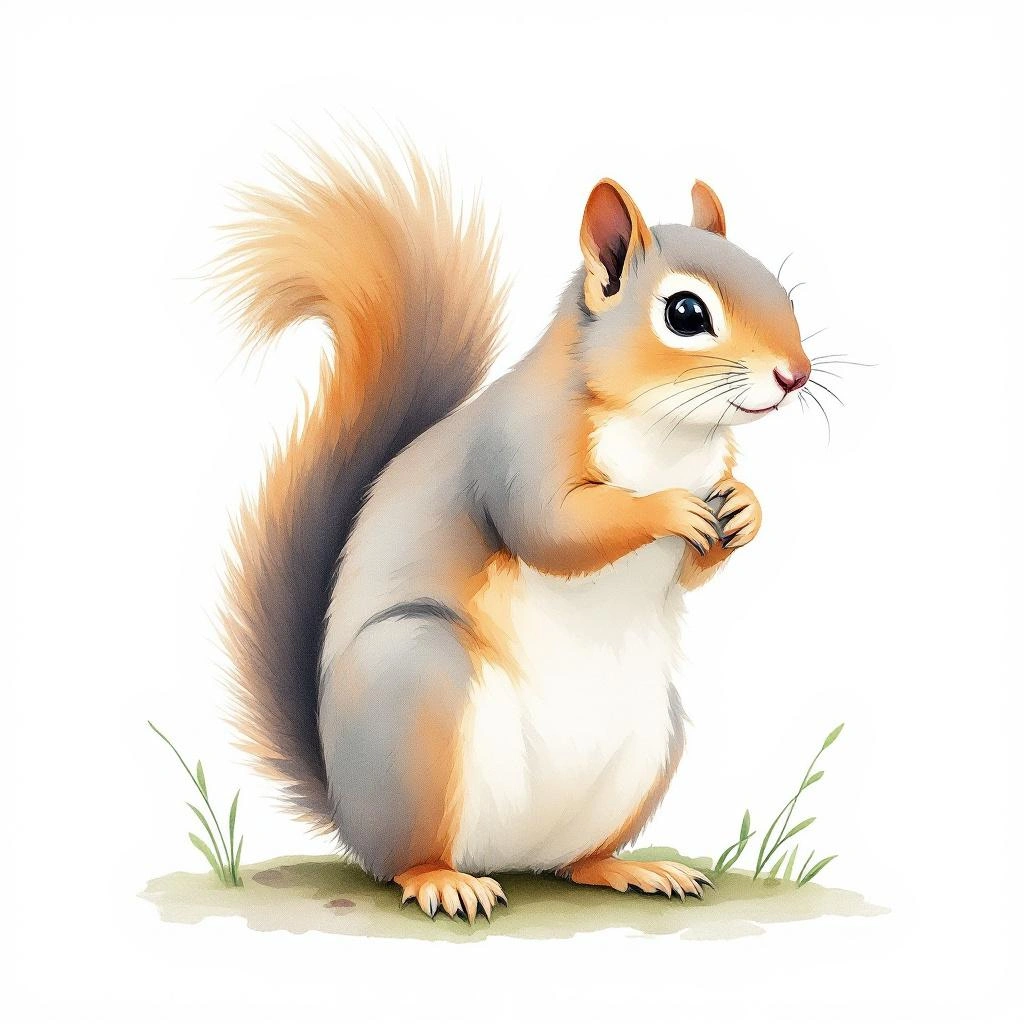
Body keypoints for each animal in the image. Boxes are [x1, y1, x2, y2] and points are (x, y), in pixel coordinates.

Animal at [217, 139, 812, 922]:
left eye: (785, 292)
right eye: (686, 313)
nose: (797, 375)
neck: (669, 434)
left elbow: (695, 563)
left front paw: (745, 507)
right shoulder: (518, 448)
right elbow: (553, 530)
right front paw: (666, 508)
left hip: (652, 743)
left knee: (573, 861)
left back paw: (631, 868)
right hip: (416, 691)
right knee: (405, 858)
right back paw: (442, 882)